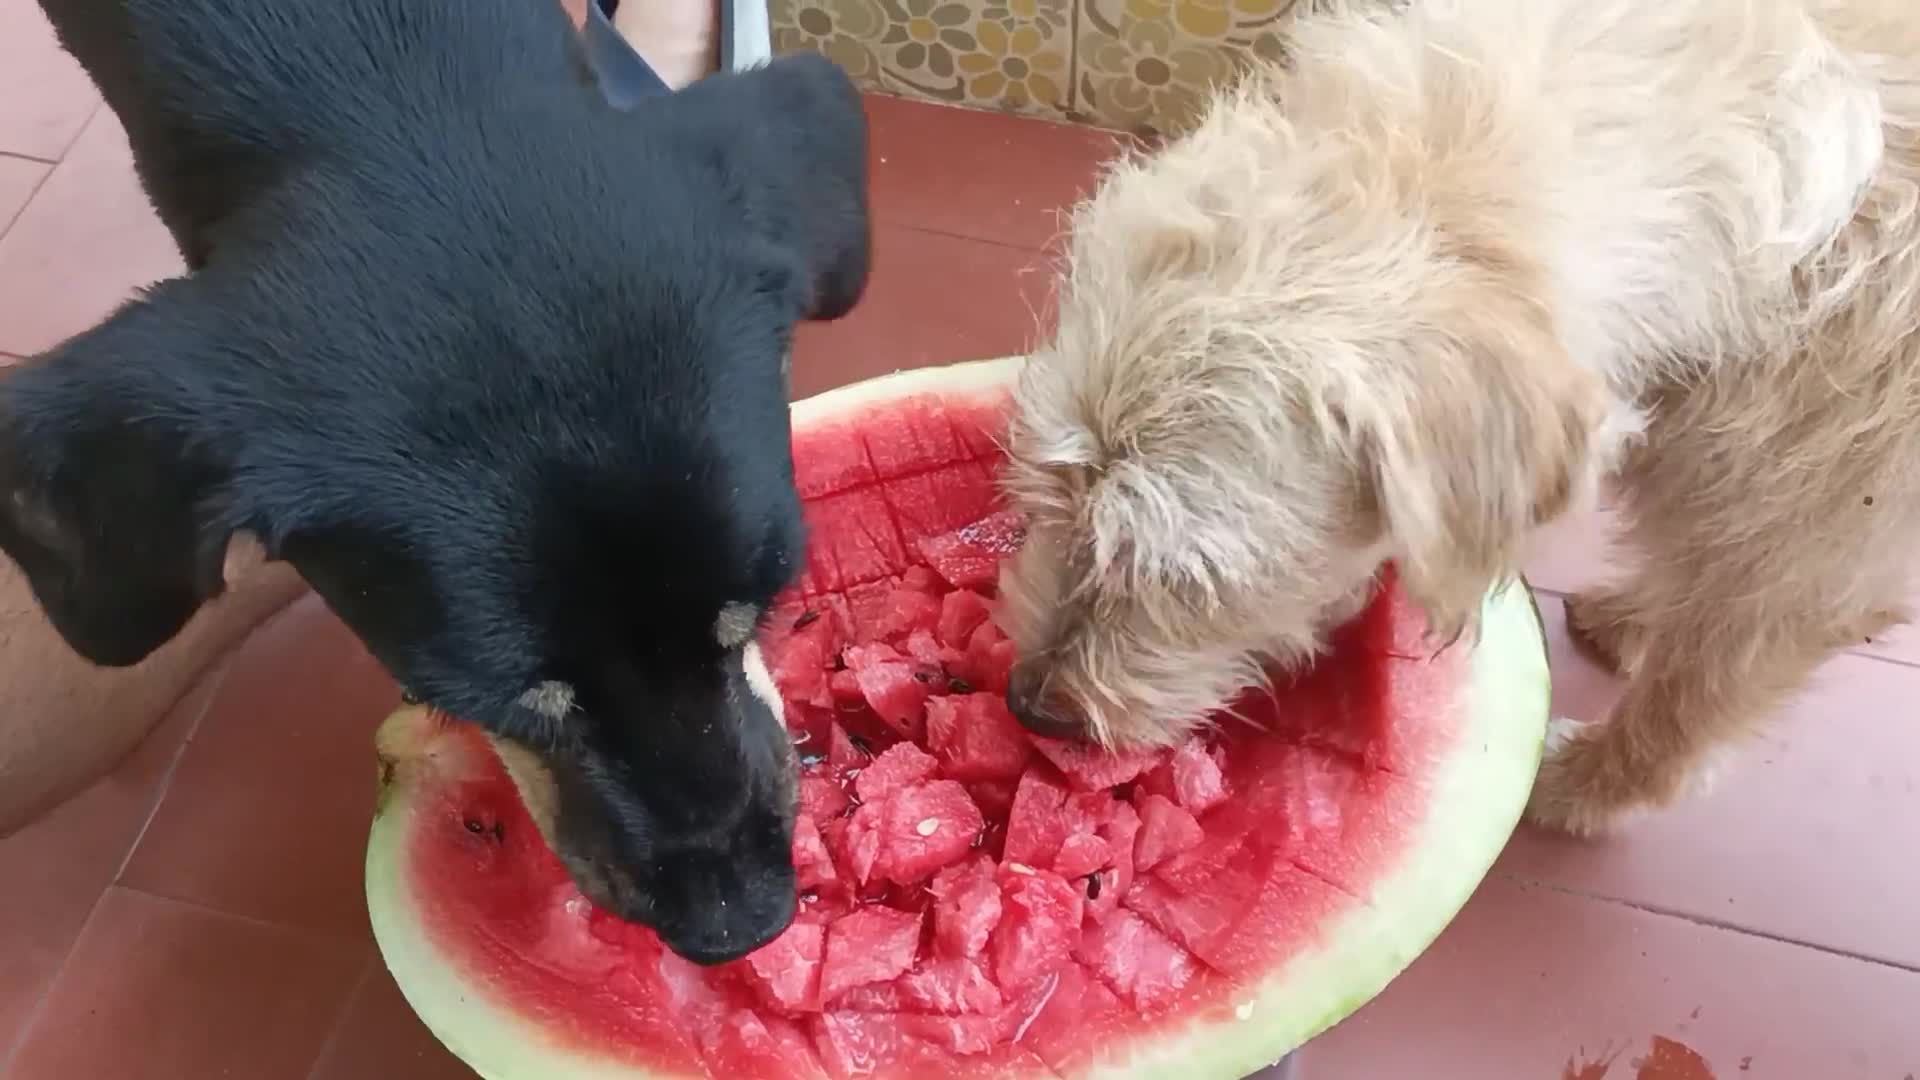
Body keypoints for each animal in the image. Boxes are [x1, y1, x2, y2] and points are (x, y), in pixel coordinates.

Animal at [998, 0, 1920, 834]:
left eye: (1184, 581)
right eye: (1044, 501)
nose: (1029, 706)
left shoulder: (1808, 575)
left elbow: (1683, 709)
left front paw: (1581, 788)